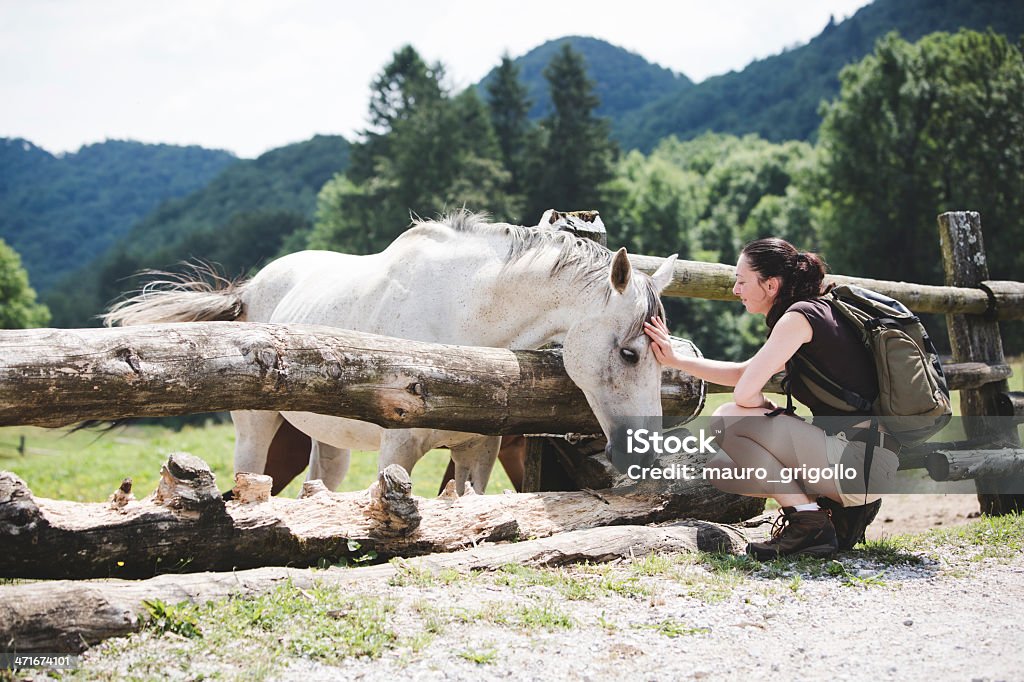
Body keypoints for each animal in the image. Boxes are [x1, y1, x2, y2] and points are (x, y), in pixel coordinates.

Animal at [105, 209, 679, 491]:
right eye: (630, 354)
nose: (645, 456)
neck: (463, 321)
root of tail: (248, 291)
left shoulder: (478, 452)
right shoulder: (397, 450)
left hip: (328, 439)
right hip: (257, 427)